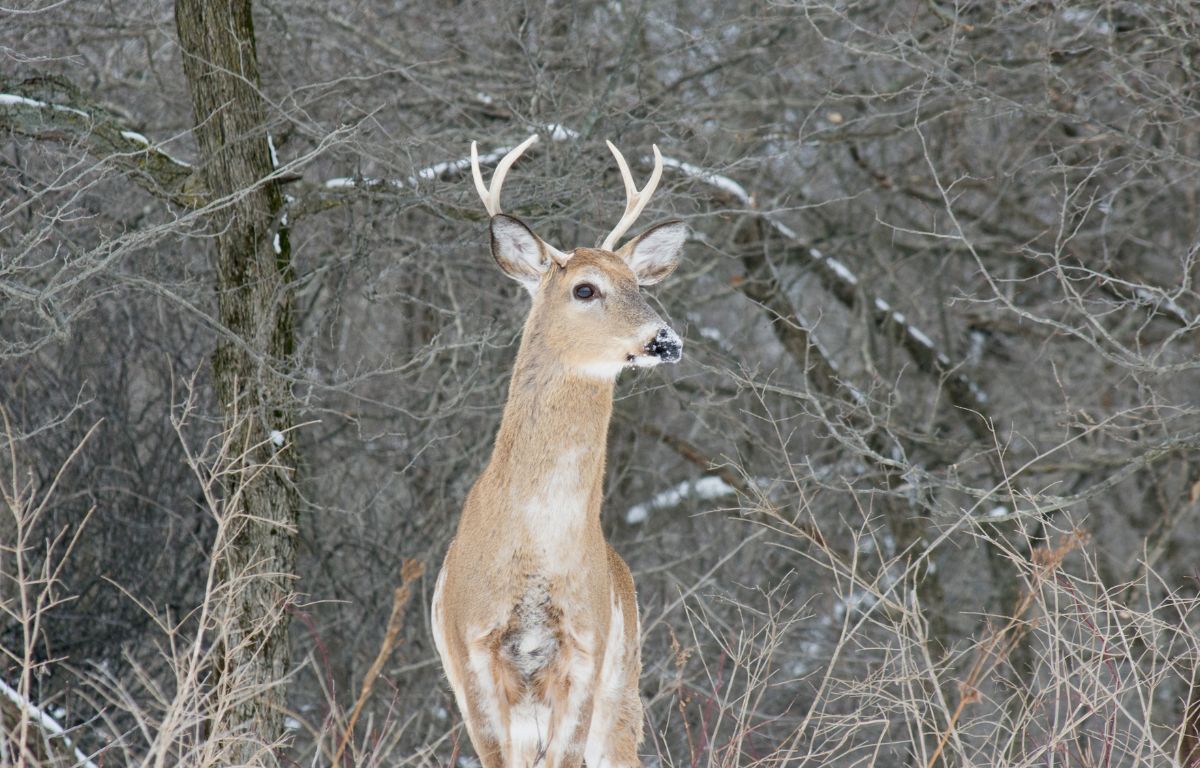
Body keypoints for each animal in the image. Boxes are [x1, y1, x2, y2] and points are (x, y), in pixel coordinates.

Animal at [434, 135, 691, 763]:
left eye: (642, 286)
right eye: (585, 289)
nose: (666, 340)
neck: (536, 547)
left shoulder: (587, 652)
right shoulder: (471, 651)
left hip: (622, 699)